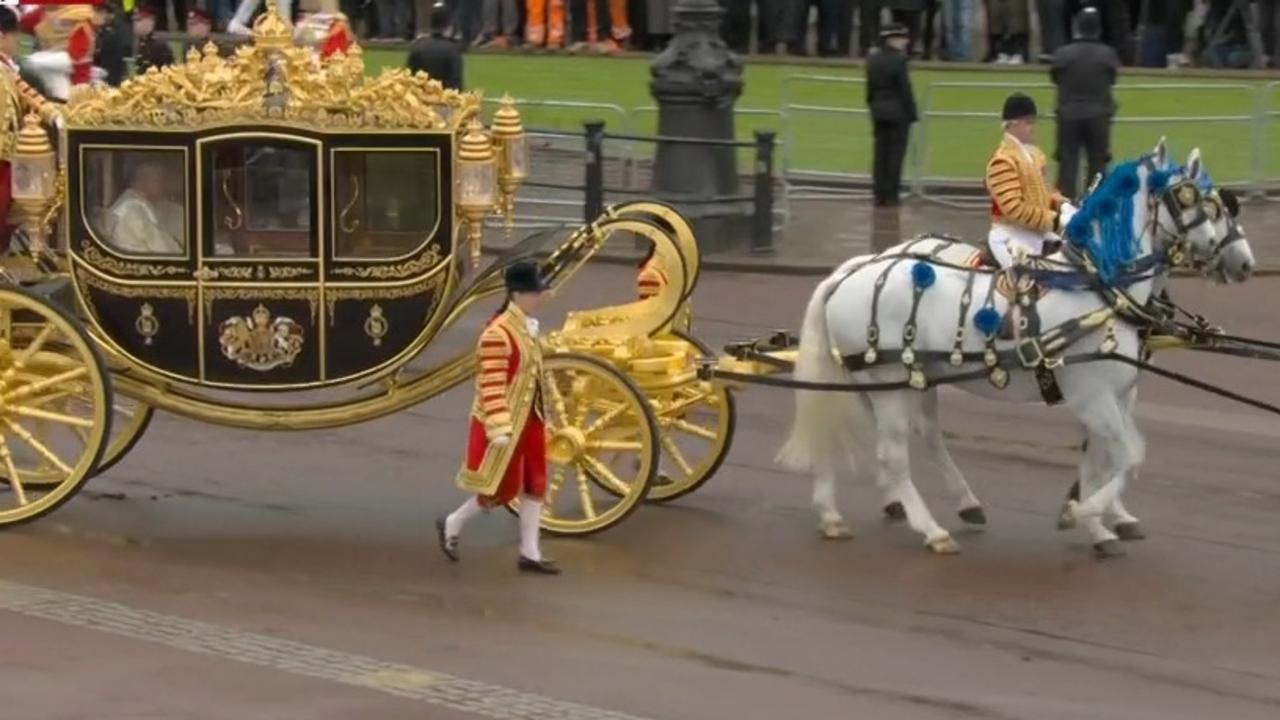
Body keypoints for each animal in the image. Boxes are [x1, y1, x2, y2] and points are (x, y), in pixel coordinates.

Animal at [778, 140, 1259, 556]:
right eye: (1193, 199)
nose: (1243, 262)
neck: (1099, 288)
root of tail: (853, 270)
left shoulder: (1114, 394)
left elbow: (1106, 456)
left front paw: (1097, 520)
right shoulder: (1092, 395)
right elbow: (1128, 456)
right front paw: (1085, 513)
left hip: (897, 382)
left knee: (886, 435)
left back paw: (844, 512)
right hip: (891, 383)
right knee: (892, 454)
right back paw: (930, 529)